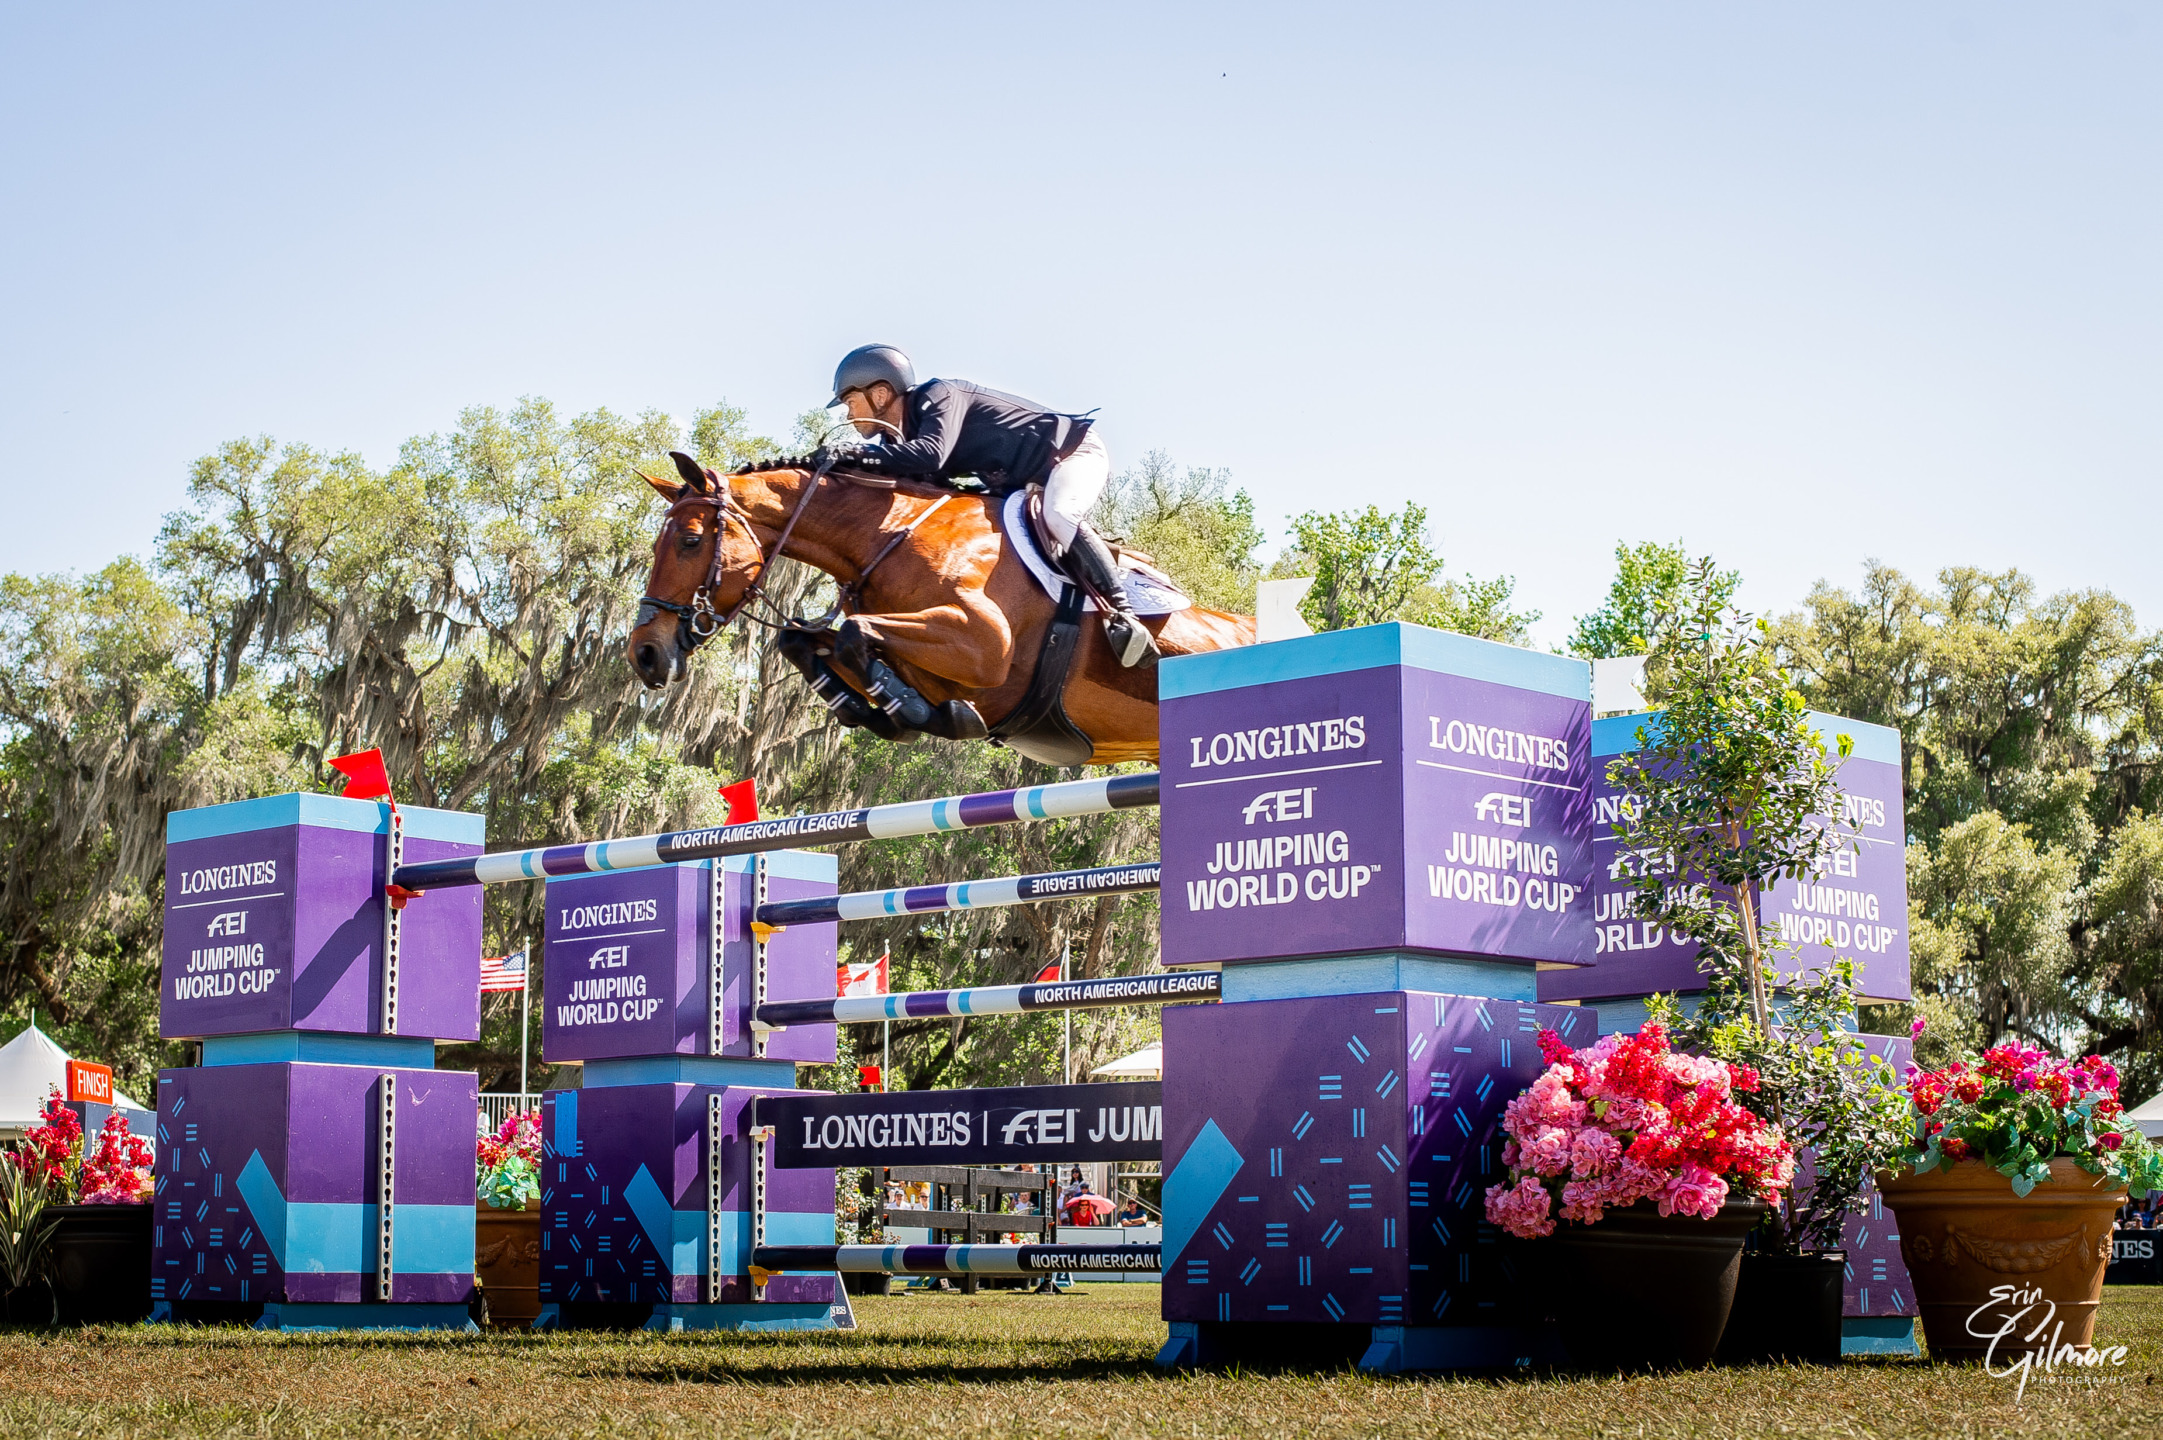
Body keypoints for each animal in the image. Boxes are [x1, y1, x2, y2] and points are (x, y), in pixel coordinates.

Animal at [631, 451, 1254, 769]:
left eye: (689, 540)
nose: (644, 654)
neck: (889, 534)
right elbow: (807, 641)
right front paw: (885, 711)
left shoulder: (983, 646)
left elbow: (853, 632)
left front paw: (908, 712)